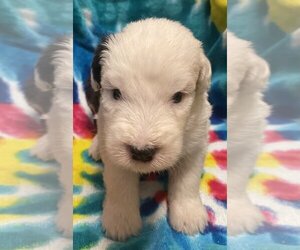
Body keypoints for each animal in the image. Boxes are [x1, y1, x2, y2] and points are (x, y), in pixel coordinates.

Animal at [88, 18, 212, 241]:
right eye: (116, 93)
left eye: (178, 97)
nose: (141, 152)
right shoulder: (113, 143)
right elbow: (119, 181)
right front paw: (121, 221)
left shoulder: (196, 140)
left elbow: (187, 181)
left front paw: (189, 216)